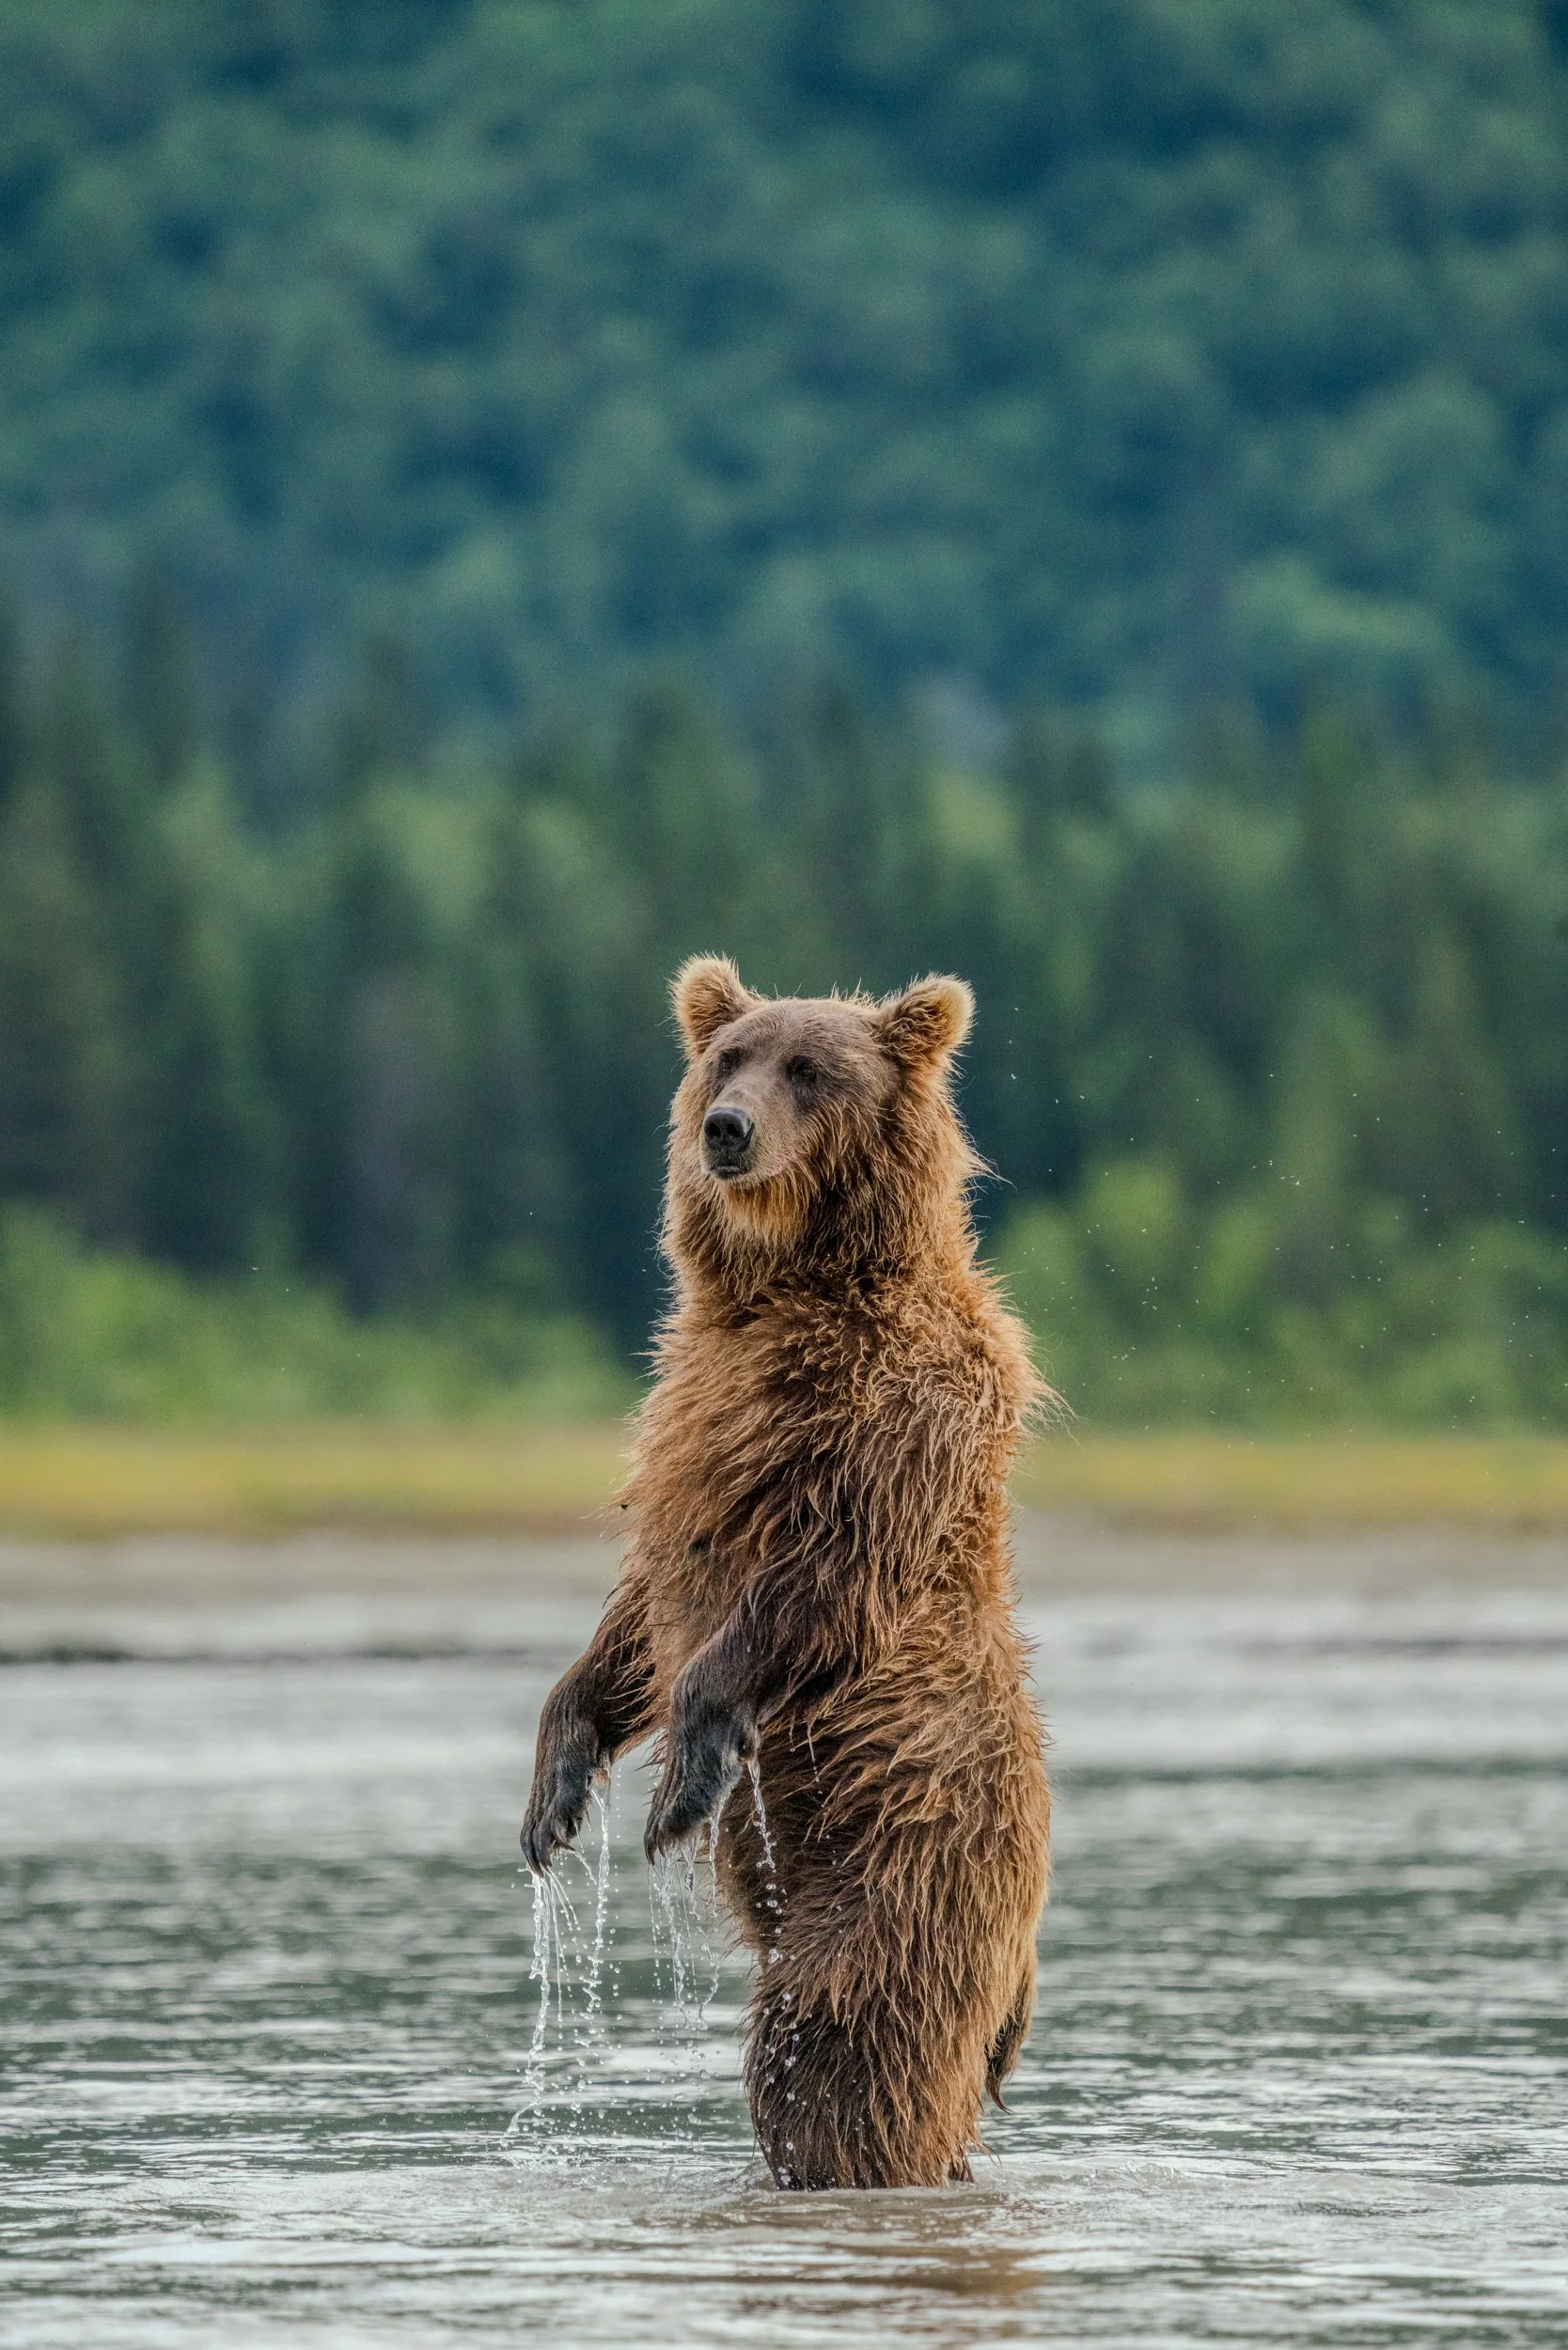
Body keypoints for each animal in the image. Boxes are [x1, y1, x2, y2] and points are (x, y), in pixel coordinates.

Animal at [521, 955, 1051, 2189]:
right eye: (728, 1058)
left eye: (809, 1068)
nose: (726, 1128)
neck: (793, 1287)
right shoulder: (691, 1416)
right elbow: (640, 1612)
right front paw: (558, 1784)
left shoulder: (895, 1412)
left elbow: (826, 1577)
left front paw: (680, 1783)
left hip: (907, 1868)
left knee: (833, 2056)